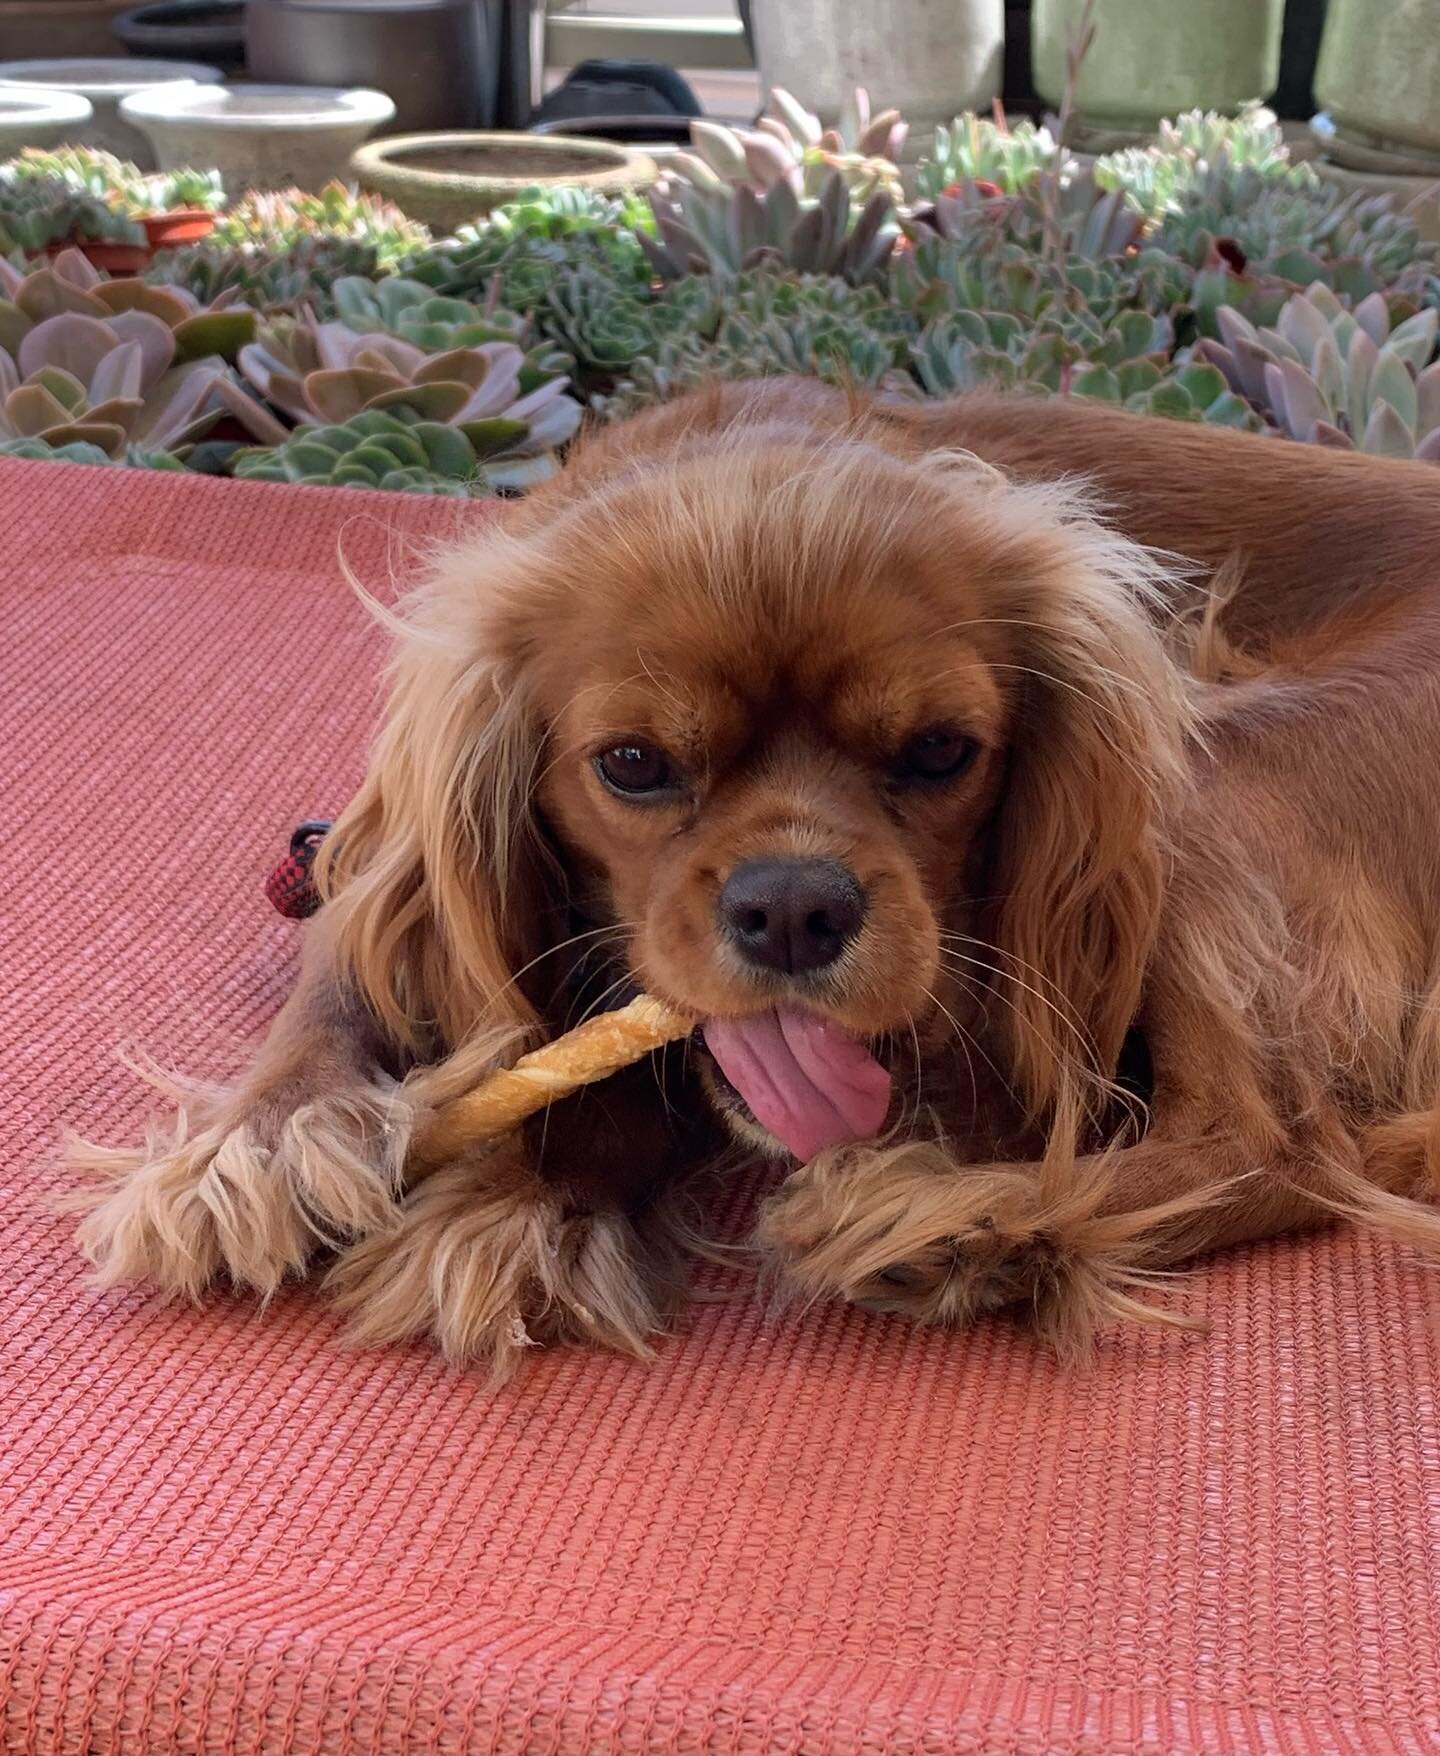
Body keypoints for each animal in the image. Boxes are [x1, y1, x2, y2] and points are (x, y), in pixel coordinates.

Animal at [73, 381, 1440, 1369]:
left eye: (940, 751)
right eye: (632, 763)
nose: (793, 906)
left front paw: (528, 1193)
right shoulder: (371, 844)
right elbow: (347, 974)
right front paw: (261, 1140)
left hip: (1195, 756)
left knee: (1271, 1141)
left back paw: (956, 1219)